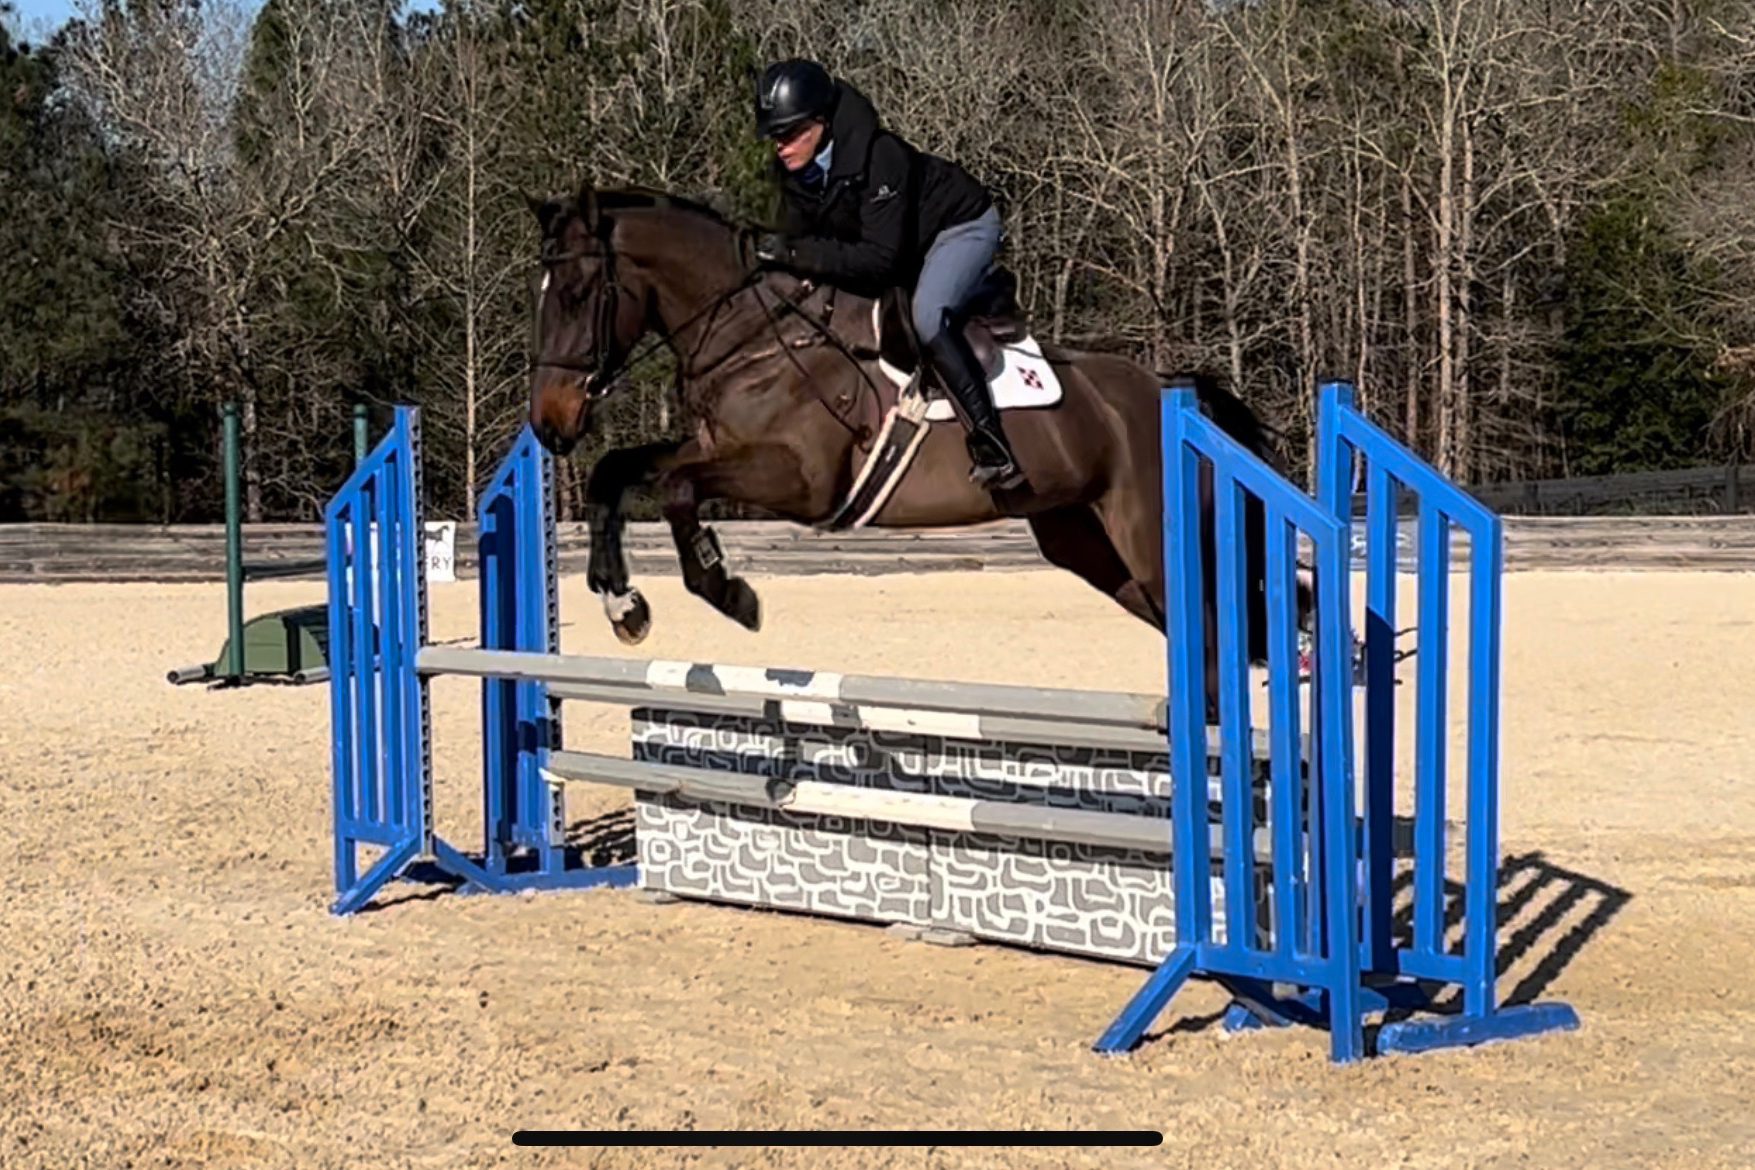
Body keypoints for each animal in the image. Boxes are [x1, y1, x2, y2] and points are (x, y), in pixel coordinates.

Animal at [524, 184, 1304, 714]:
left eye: (577, 293)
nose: (549, 423)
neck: (751, 330)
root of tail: (1165, 390)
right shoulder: (714, 446)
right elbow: (617, 472)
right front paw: (623, 604)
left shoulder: (799, 480)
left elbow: (678, 489)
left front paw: (730, 592)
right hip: (1089, 547)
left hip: (1151, 543)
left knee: (1211, 639)